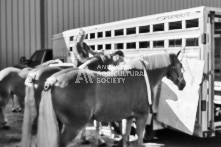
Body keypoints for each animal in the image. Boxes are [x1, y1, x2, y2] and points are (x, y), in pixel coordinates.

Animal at [34, 52, 185, 147]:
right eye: (180, 66)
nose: (183, 84)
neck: (142, 77)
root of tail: (53, 81)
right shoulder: (141, 117)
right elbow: (140, 142)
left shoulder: (129, 117)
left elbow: (125, 139)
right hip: (73, 126)